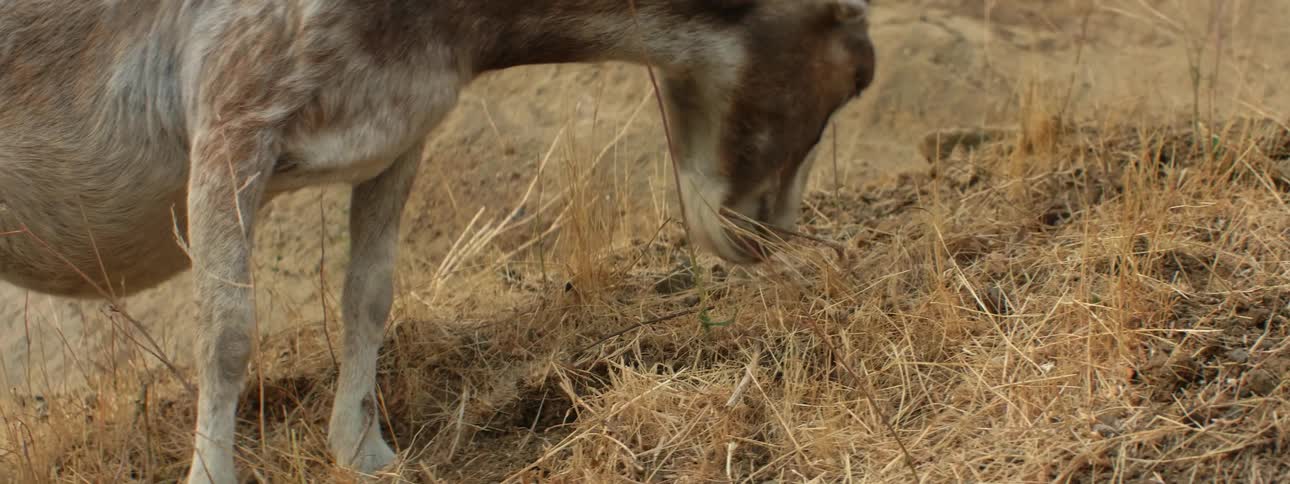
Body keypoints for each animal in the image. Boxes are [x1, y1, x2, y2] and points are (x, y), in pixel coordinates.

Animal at [0, 0, 876, 482]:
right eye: (859, 77)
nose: (765, 232)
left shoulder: (398, 136)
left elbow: (368, 297)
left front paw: (362, 449)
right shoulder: (231, 126)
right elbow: (226, 334)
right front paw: (212, 475)